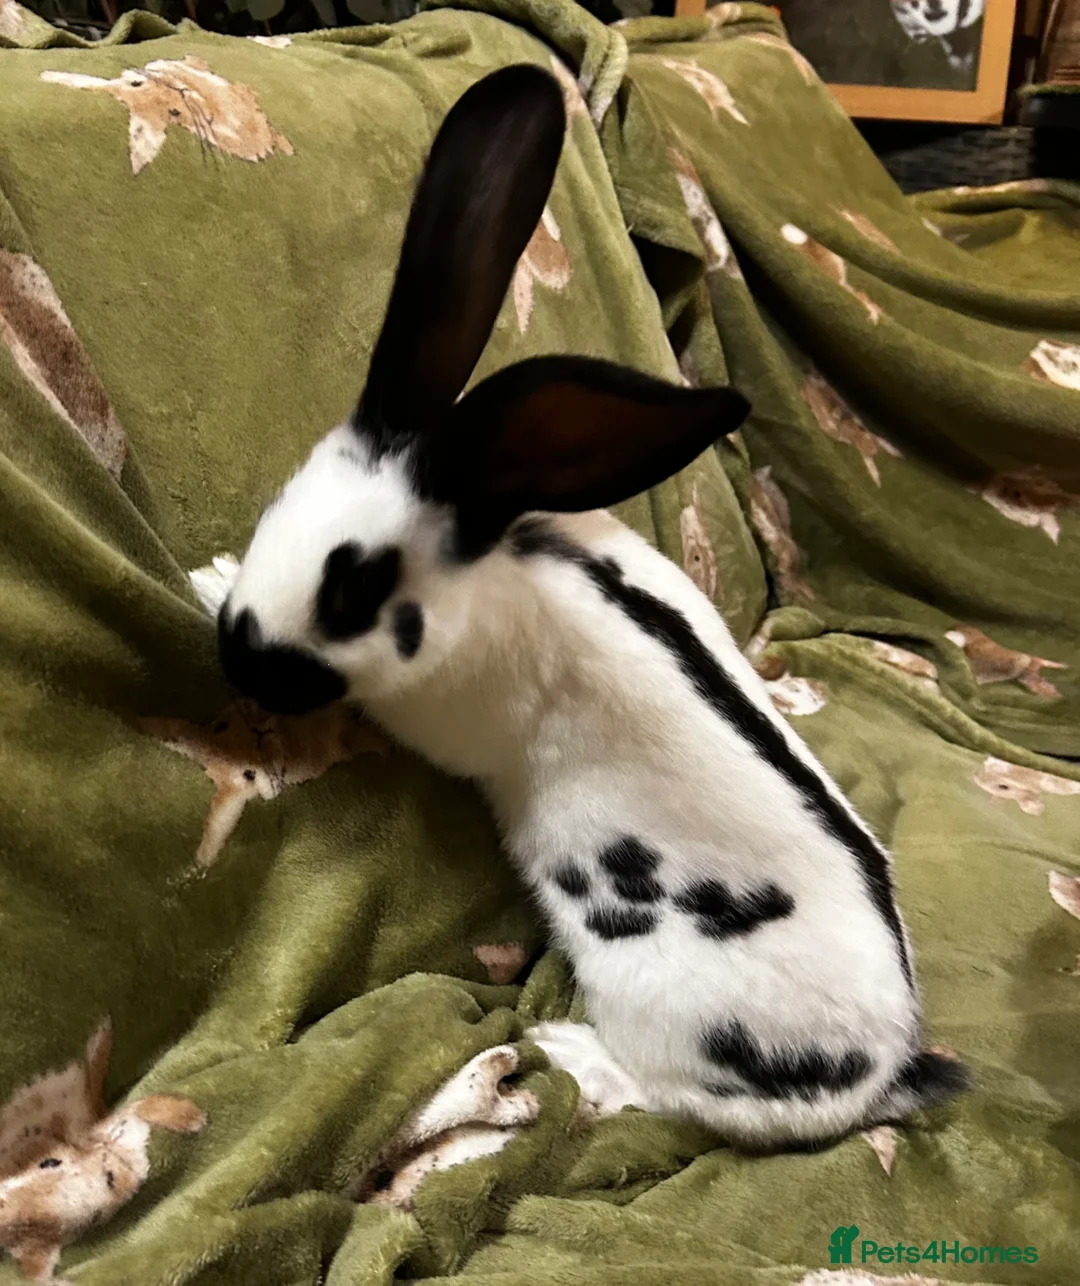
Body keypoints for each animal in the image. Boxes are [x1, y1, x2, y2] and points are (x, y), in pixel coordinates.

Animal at [211, 64, 967, 1147]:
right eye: (281, 504)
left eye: (357, 586)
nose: (236, 652)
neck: (496, 567)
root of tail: (880, 1074)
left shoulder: (448, 714)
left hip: (665, 1004)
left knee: (684, 1099)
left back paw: (575, 1056)